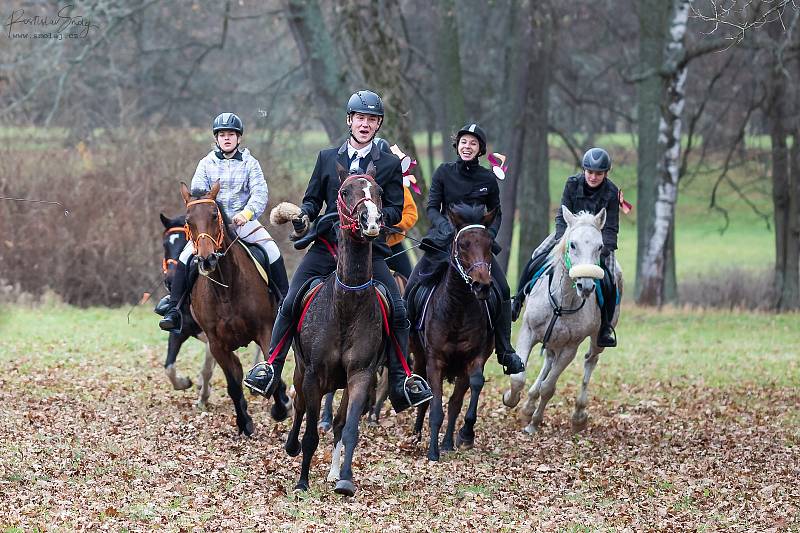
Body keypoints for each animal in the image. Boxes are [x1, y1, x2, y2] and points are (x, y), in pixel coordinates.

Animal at [180, 181, 290, 434]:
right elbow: (232, 383)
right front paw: (244, 423)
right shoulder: (216, 343)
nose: (207, 259)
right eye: (188, 220)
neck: (225, 289)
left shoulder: (265, 329)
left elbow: (272, 371)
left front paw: (280, 408)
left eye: (214, 215)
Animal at [284, 166, 388, 494]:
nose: (371, 220)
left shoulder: (361, 374)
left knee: (340, 422)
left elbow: (349, 427)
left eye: (379, 191)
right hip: (301, 370)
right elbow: (310, 433)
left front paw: (345, 479)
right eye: (344, 192)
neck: (347, 307)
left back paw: (333, 473)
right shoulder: (313, 374)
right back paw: (291, 446)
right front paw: (302, 482)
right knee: (299, 405)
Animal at [410, 205, 496, 462]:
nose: (482, 285)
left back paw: (448, 442)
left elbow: (472, 388)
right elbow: (435, 407)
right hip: (419, 357)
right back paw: (416, 435)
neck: (457, 307)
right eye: (463, 244)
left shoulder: (474, 358)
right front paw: (432, 452)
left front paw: (465, 435)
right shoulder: (435, 361)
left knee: (455, 402)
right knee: (424, 396)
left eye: (490, 244)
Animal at [504, 206, 620, 434]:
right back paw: (528, 405)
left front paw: (534, 424)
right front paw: (511, 400)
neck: (563, 300)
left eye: (600, 246)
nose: (586, 286)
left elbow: (549, 388)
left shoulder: (570, 348)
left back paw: (577, 416)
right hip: (551, 340)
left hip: (595, 340)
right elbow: (518, 377)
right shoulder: (528, 331)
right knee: (548, 360)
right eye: (572, 244)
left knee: (590, 361)